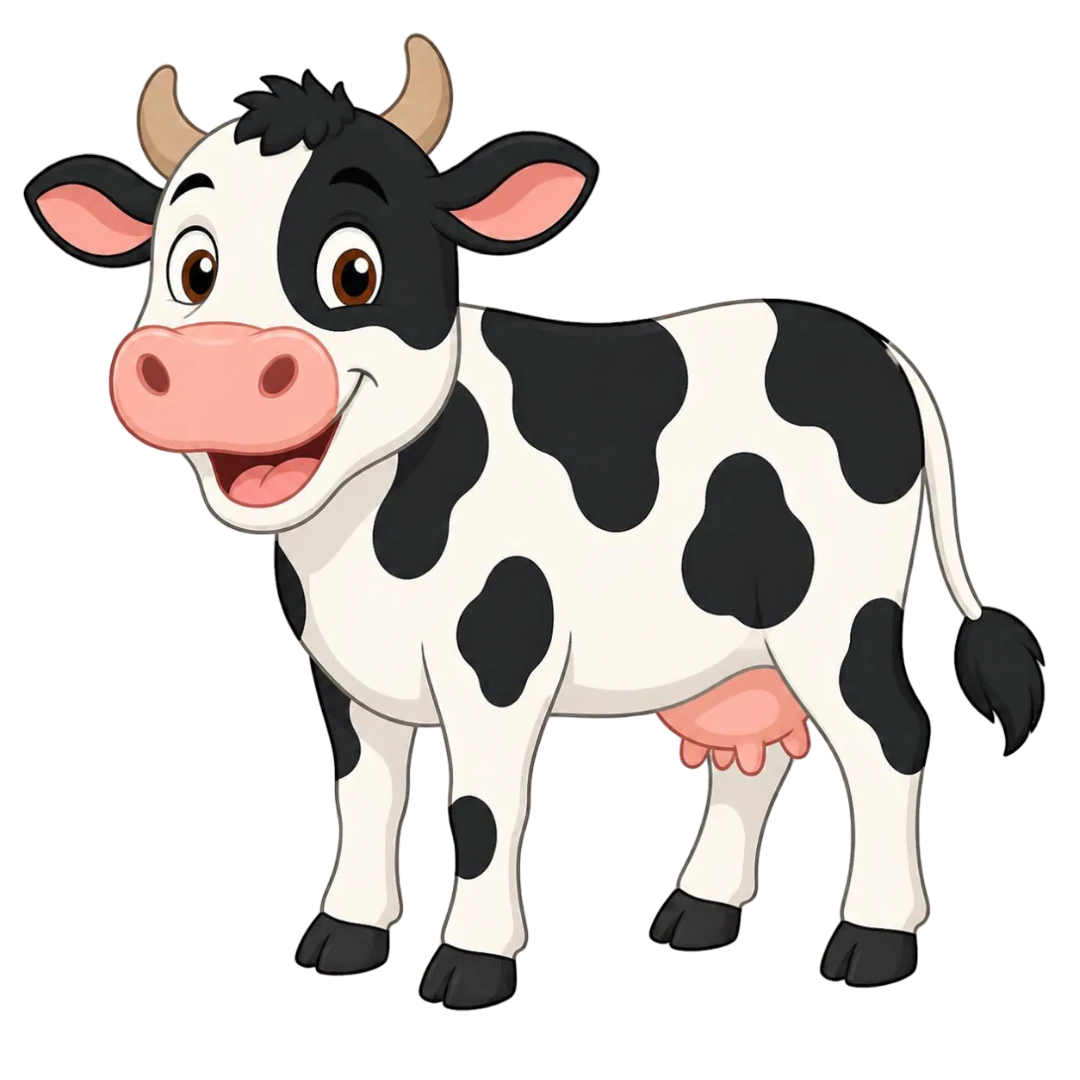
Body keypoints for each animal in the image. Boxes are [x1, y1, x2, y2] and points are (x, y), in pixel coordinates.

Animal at [23, 36, 1046, 1007]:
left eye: (355, 271)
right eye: (192, 268)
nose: (215, 366)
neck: (363, 546)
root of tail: (887, 357)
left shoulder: (501, 657)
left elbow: (479, 811)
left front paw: (469, 968)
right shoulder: (347, 676)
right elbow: (364, 800)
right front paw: (340, 944)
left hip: (837, 611)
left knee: (890, 739)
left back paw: (869, 947)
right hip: (745, 638)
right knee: (752, 755)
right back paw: (695, 918)